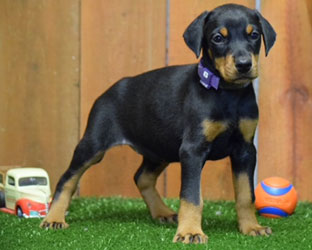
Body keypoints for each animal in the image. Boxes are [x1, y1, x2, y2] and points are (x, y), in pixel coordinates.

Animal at [39, 3, 276, 244]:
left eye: (254, 35)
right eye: (218, 38)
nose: (244, 65)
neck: (228, 94)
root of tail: (107, 92)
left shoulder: (245, 150)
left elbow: (246, 194)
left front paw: (251, 227)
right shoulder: (192, 150)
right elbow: (191, 196)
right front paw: (190, 232)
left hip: (160, 148)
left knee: (142, 177)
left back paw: (162, 212)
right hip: (94, 144)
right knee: (67, 178)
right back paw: (54, 218)